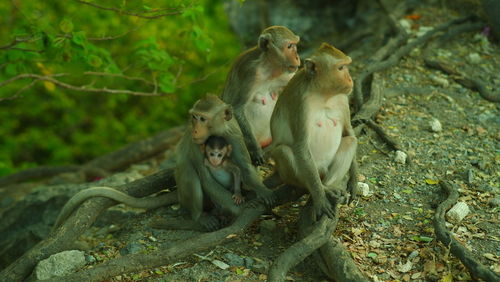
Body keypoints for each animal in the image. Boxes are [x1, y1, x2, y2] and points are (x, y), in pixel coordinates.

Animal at [223, 25, 300, 165]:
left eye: (295, 45)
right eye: (289, 46)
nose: (297, 57)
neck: (270, 67)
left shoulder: (287, 74)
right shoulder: (250, 72)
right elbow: (236, 108)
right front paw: (255, 151)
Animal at [270, 43, 360, 220]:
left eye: (346, 66)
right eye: (341, 68)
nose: (350, 79)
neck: (323, 94)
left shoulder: (343, 99)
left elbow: (348, 133)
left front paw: (353, 180)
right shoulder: (301, 103)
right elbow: (301, 146)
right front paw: (319, 198)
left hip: (325, 170)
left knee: (350, 141)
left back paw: (329, 186)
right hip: (303, 172)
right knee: (284, 151)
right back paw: (321, 190)